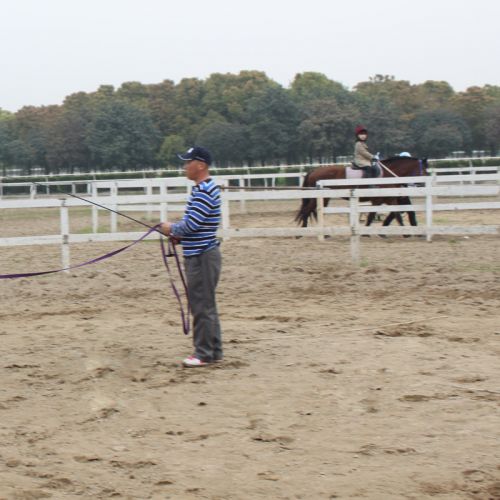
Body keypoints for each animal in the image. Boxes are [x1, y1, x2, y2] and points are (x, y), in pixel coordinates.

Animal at [294, 156, 428, 229]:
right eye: (425, 171)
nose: (424, 183)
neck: (388, 174)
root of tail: (313, 171)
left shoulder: (386, 199)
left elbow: (389, 214)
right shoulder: (382, 199)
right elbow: (381, 215)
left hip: (323, 198)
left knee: (312, 211)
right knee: (307, 211)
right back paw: (302, 232)